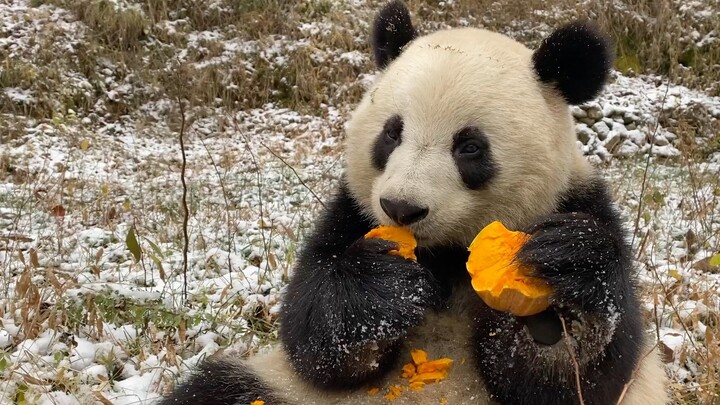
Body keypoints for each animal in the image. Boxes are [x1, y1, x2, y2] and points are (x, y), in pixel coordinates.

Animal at [160, 1, 668, 402]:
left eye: (470, 147)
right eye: (392, 132)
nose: (402, 208)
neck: (444, 253)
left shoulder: (576, 199)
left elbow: (574, 380)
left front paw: (563, 288)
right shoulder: (351, 209)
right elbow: (313, 337)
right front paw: (382, 287)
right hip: (276, 386)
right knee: (217, 389)